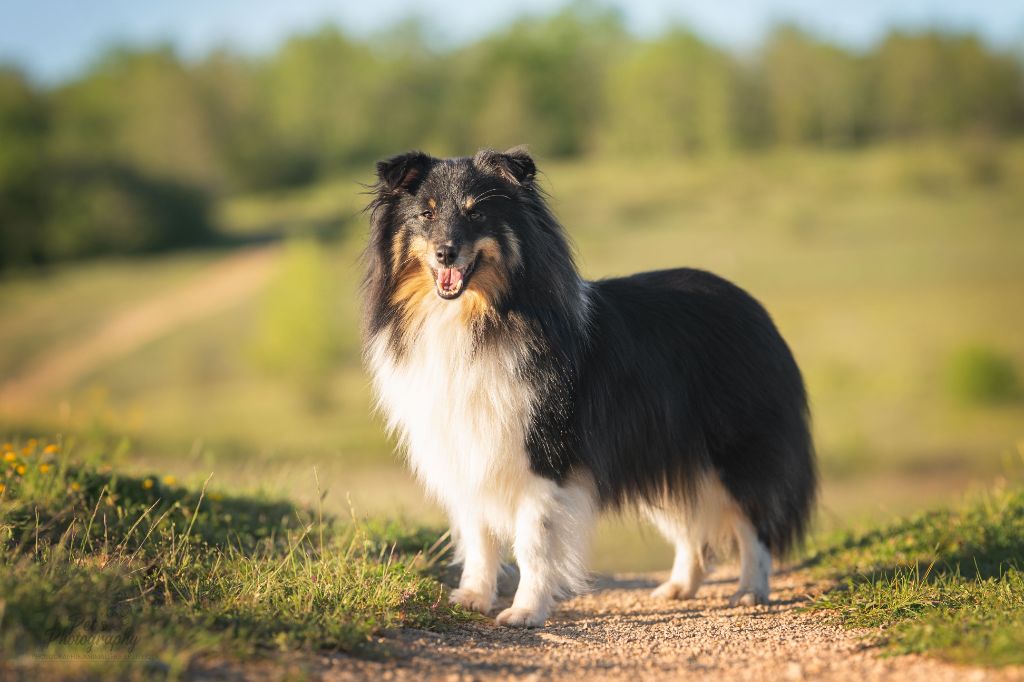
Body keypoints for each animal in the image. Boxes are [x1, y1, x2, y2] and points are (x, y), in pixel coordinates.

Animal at [360, 147, 815, 626]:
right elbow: (479, 534)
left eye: (476, 212)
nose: (446, 253)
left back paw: (749, 590)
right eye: (425, 214)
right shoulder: (468, 449)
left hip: (733, 450)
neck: (477, 318)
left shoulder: (544, 454)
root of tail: (754, 308)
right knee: (691, 524)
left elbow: (533, 543)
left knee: (754, 521)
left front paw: (525, 612)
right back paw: (678, 587)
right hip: (668, 452)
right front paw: (472, 598)